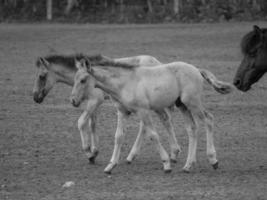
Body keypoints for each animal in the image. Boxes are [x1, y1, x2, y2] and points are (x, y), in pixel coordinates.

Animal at [32, 54, 172, 165]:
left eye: (42, 76)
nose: (35, 97)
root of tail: (158, 62)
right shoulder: (93, 104)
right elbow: (92, 125)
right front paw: (94, 151)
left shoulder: (95, 101)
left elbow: (81, 122)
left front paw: (89, 152)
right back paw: (132, 156)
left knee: (145, 126)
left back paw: (132, 155)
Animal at [71, 55, 232, 173]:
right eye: (74, 79)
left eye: (83, 80)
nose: (73, 101)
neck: (125, 83)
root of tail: (197, 70)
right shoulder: (123, 112)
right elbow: (119, 137)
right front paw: (110, 166)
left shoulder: (143, 111)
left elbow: (153, 135)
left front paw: (166, 164)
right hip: (182, 105)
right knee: (192, 128)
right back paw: (188, 165)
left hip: (193, 102)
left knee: (208, 120)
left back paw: (213, 160)